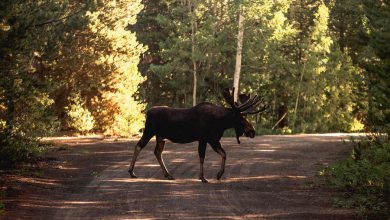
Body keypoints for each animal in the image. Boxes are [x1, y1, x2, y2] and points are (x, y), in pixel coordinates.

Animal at [128, 87, 268, 182]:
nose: (252, 131)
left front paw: (218, 174)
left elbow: (223, 153)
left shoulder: (212, 139)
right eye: (240, 118)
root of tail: (147, 112)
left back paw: (168, 174)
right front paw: (204, 177)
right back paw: (131, 172)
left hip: (161, 136)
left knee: (157, 152)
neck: (220, 122)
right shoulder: (206, 138)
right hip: (149, 131)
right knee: (139, 146)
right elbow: (203, 156)